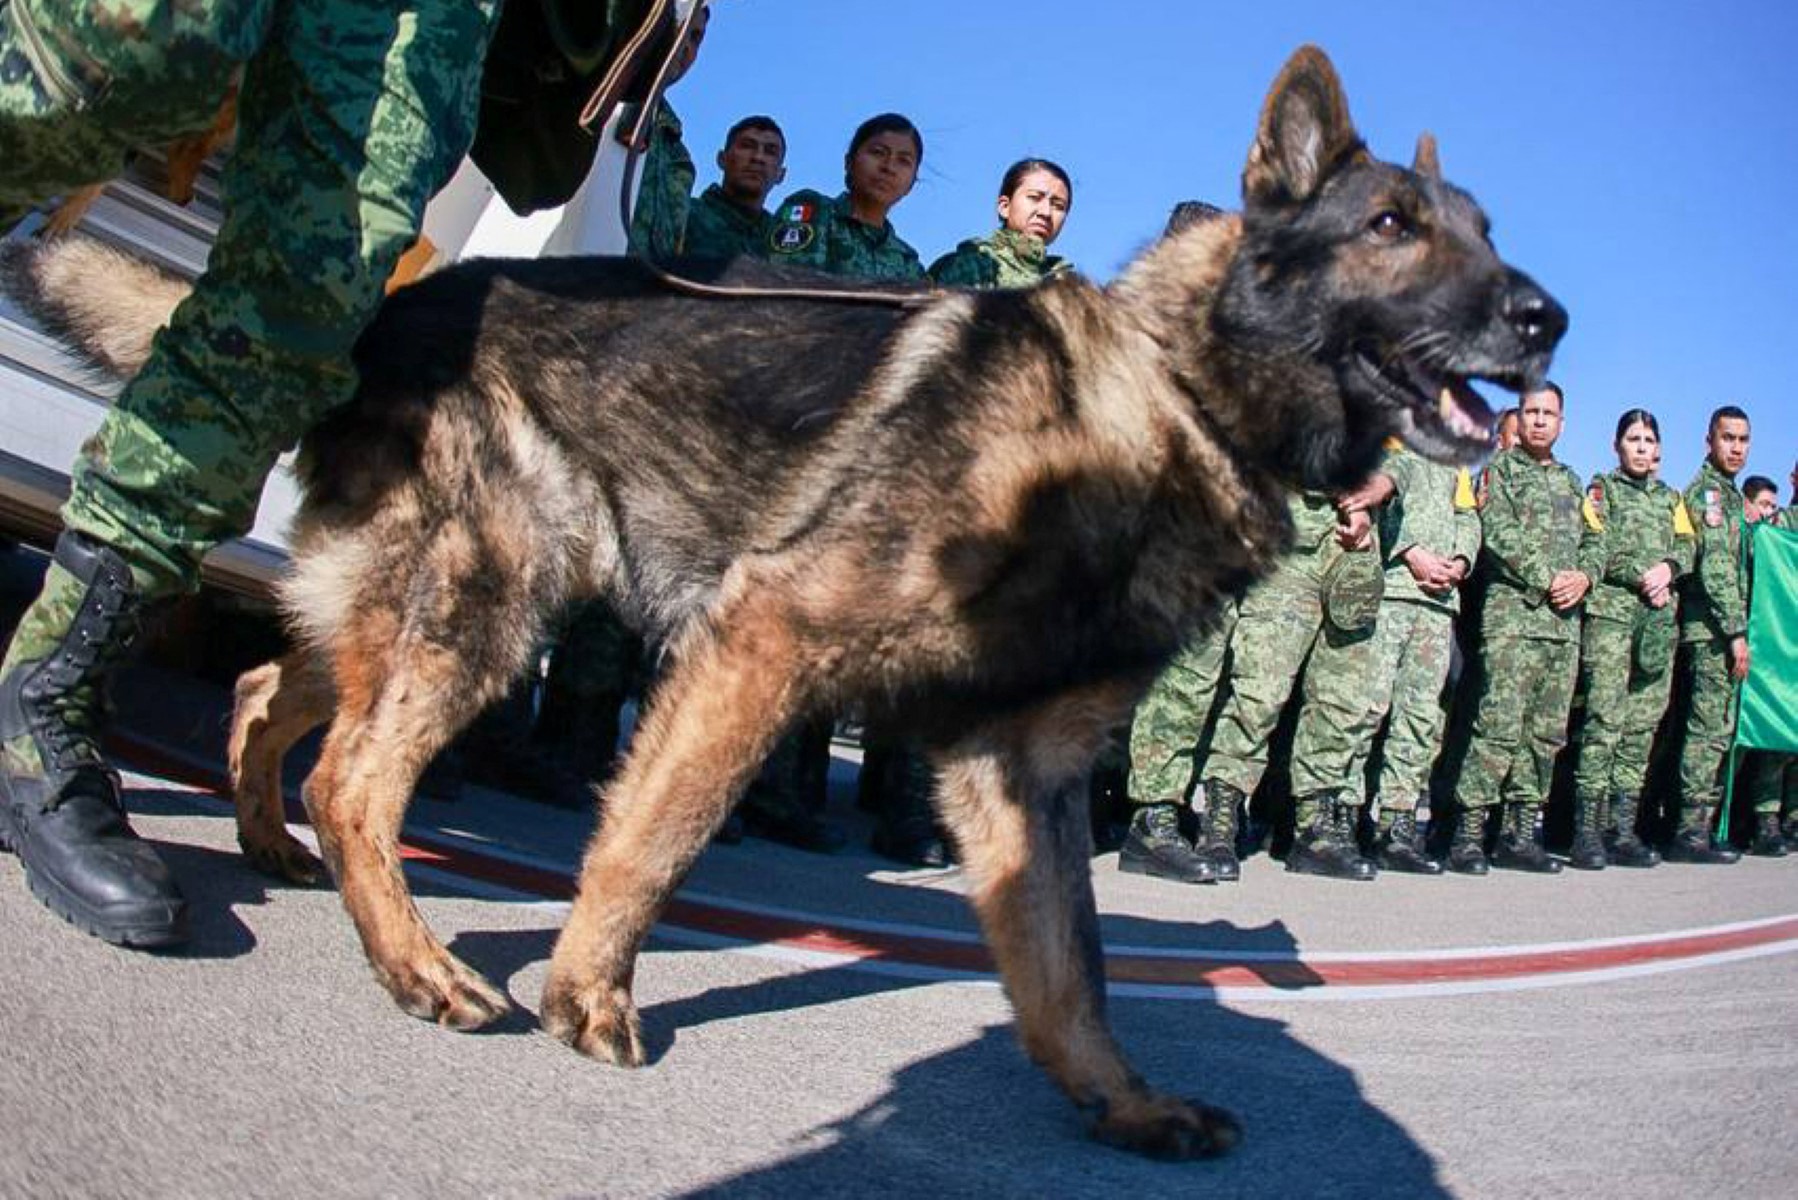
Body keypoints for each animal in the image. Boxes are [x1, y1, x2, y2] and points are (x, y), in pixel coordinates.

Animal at [3, 49, 1560, 1165]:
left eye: (1485, 236)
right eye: (1390, 226)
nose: (1545, 318)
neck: (1169, 397)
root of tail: (389, 310)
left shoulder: (1021, 773)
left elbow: (1070, 966)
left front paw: (1120, 1103)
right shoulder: (763, 643)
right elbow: (653, 839)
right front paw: (588, 997)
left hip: (434, 607)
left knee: (276, 692)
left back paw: (274, 845)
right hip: (498, 602)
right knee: (357, 775)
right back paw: (414, 963)